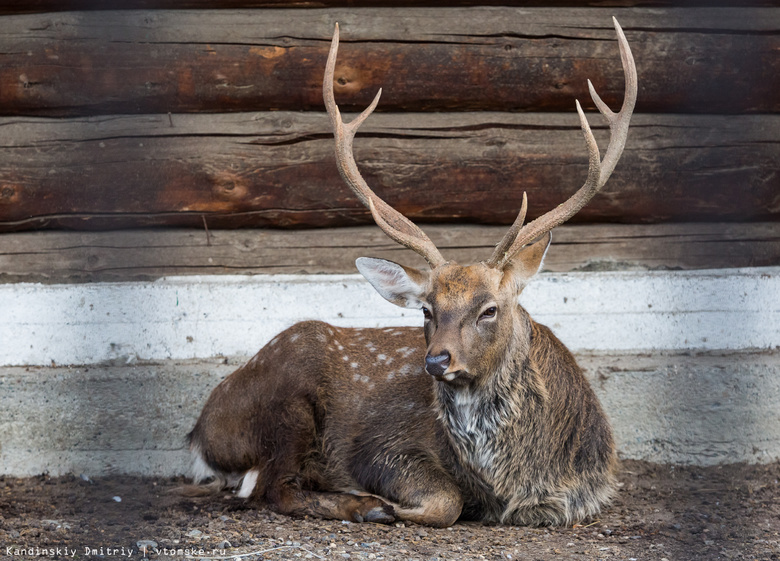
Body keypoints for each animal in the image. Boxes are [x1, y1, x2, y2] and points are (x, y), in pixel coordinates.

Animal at [186, 17, 636, 524]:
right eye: (426, 309)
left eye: (490, 309)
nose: (436, 360)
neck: (517, 485)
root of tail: (200, 433)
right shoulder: (380, 446)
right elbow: (446, 501)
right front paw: (385, 503)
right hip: (287, 398)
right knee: (274, 488)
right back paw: (364, 506)